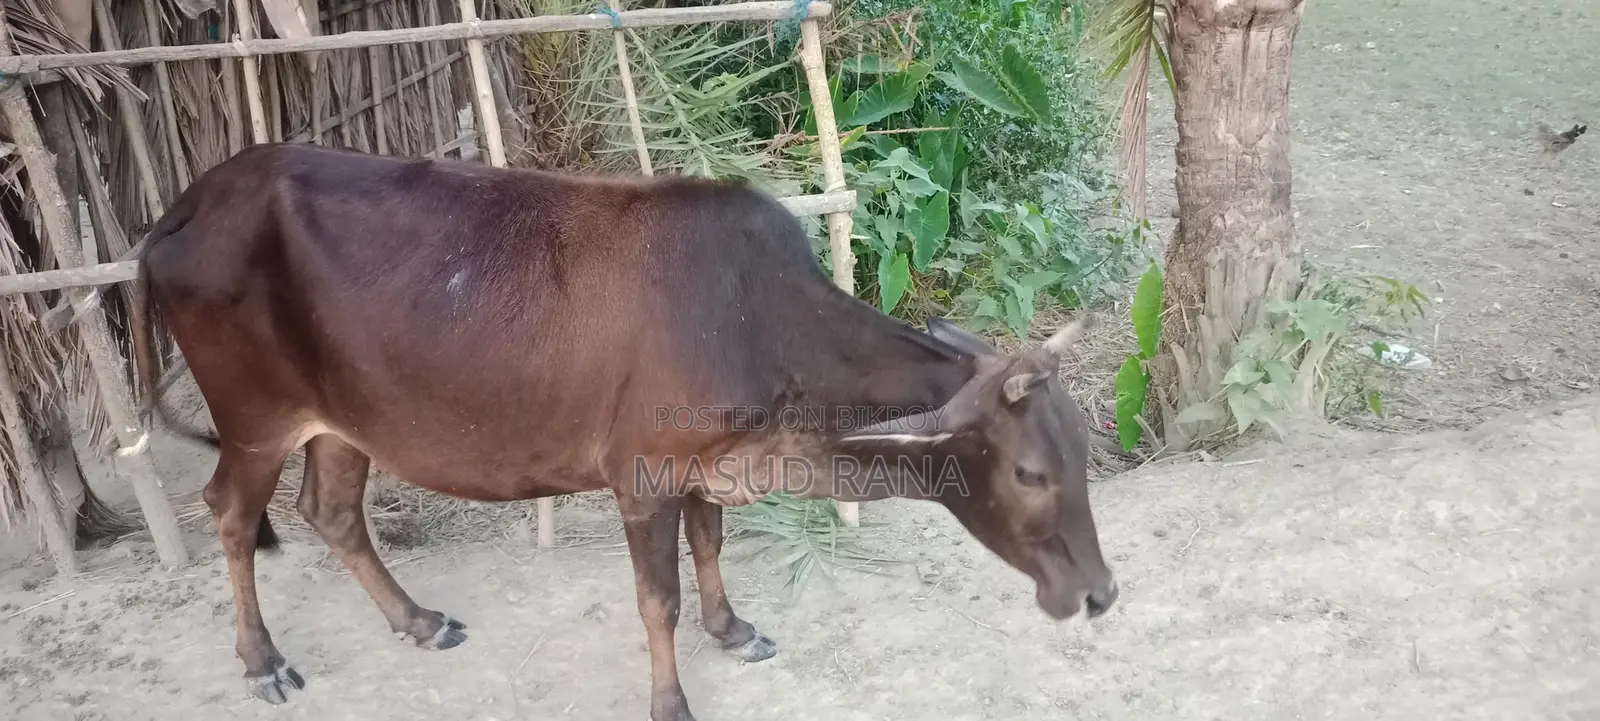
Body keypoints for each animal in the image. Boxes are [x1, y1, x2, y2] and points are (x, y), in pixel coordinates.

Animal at [130, 142, 1119, 721]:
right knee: (230, 514)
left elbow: (711, 551)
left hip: (342, 422)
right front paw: (672, 699)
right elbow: (659, 600)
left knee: (332, 512)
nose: (1102, 594)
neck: (758, 320)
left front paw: (735, 629)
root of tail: (184, 205)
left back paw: (418, 620)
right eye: (1031, 472)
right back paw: (263, 661)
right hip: (254, 419)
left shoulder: (709, 469)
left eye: (1082, 457)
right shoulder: (641, 478)